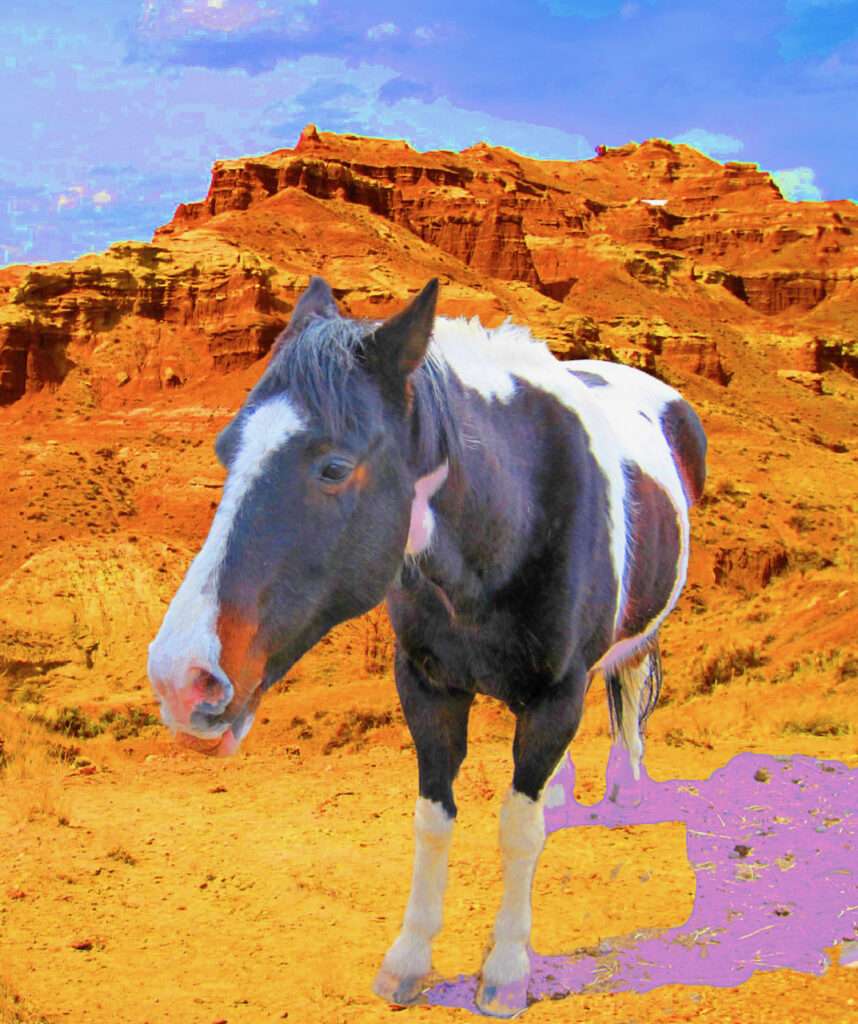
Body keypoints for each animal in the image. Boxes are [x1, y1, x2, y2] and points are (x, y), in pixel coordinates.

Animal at [148, 276, 707, 1018]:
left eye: (334, 467)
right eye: (223, 450)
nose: (181, 679)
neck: (509, 526)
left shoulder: (557, 695)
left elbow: (517, 829)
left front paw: (506, 970)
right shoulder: (427, 688)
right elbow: (434, 819)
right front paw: (408, 960)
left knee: (632, 682)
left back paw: (627, 785)